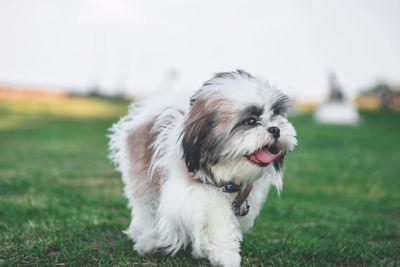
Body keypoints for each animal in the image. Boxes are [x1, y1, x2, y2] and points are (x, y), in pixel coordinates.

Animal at [108, 70, 296, 266]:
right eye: (250, 121)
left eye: (276, 115)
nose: (275, 129)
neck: (226, 174)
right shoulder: (195, 194)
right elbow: (215, 216)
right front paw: (226, 254)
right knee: (147, 209)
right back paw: (150, 241)